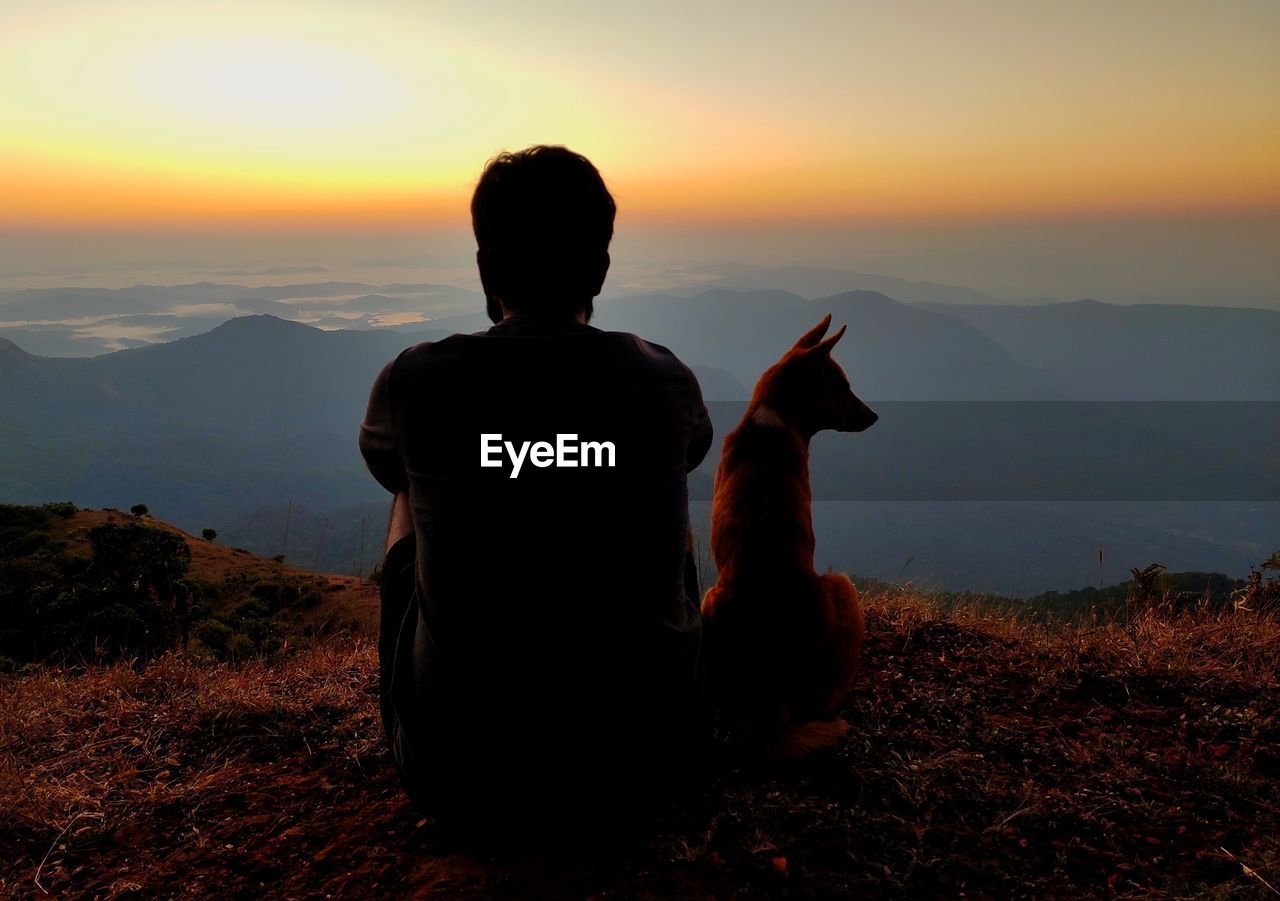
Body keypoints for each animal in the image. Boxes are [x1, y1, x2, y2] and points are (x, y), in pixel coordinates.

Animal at [701, 313, 880, 757]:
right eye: (842, 386)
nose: (873, 416)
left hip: (710, 599)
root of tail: (774, 696)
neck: (773, 420)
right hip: (843, 584)